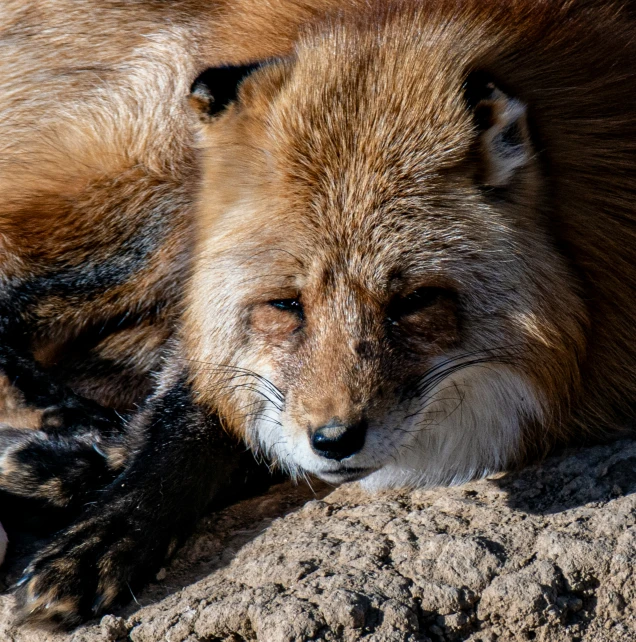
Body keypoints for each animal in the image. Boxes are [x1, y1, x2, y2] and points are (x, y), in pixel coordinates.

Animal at [1, 0, 636, 628]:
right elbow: (191, 421)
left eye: (413, 303)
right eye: (286, 305)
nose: (334, 440)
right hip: (155, 196)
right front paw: (106, 534)